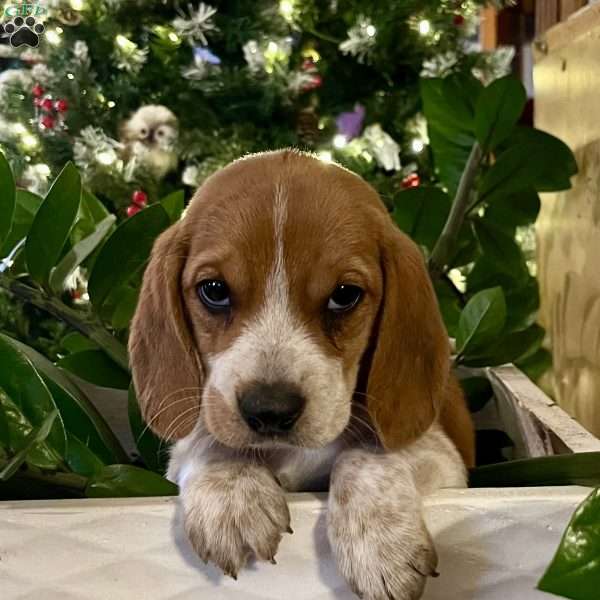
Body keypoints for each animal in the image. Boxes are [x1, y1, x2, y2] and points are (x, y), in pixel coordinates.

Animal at [129, 150, 476, 600]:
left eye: (345, 295)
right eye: (214, 290)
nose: (270, 411)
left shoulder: (447, 462)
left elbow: (366, 453)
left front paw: (378, 543)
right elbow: (209, 436)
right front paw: (233, 492)